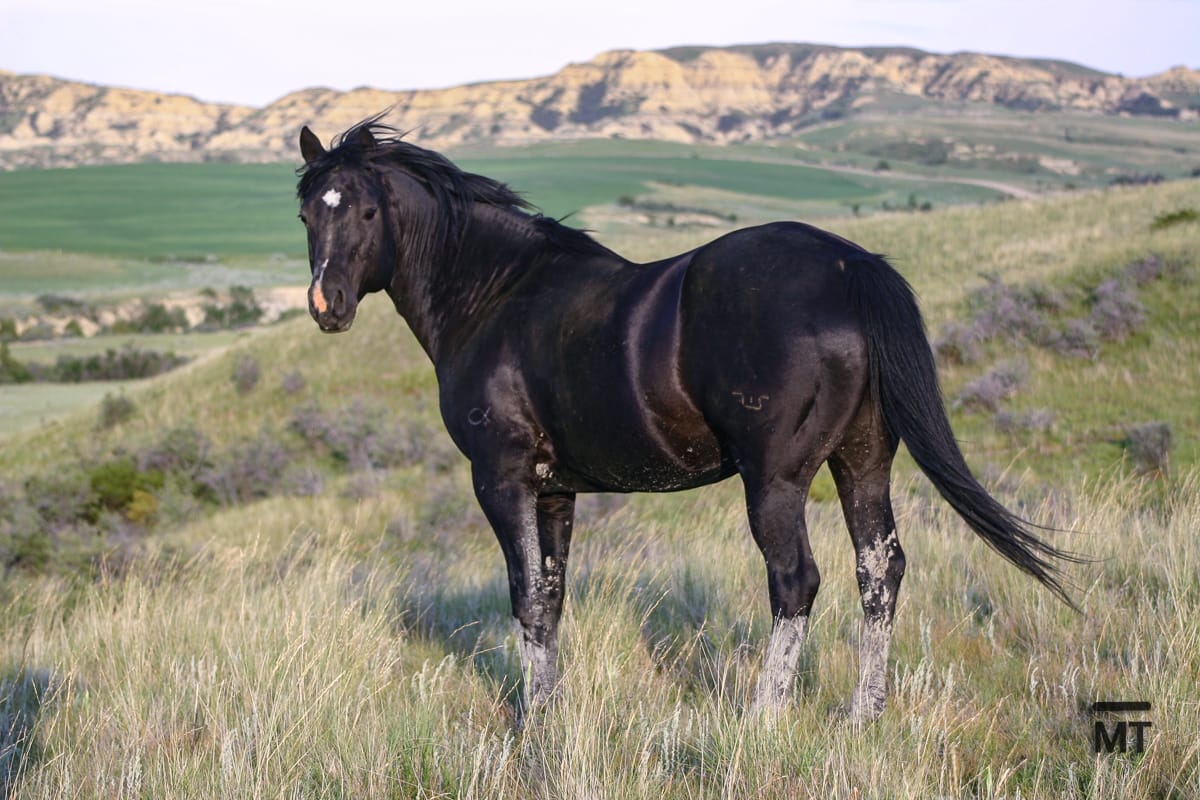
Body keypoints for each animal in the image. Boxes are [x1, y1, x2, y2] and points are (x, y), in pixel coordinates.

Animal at [295, 119, 1078, 724]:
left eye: (367, 213)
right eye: (308, 214)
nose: (326, 306)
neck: (496, 294)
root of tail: (848, 266)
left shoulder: (501, 478)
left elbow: (525, 599)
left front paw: (532, 722)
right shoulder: (555, 489)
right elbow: (550, 599)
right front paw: (550, 711)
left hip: (776, 481)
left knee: (795, 582)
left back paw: (763, 718)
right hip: (862, 460)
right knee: (879, 571)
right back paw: (865, 715)